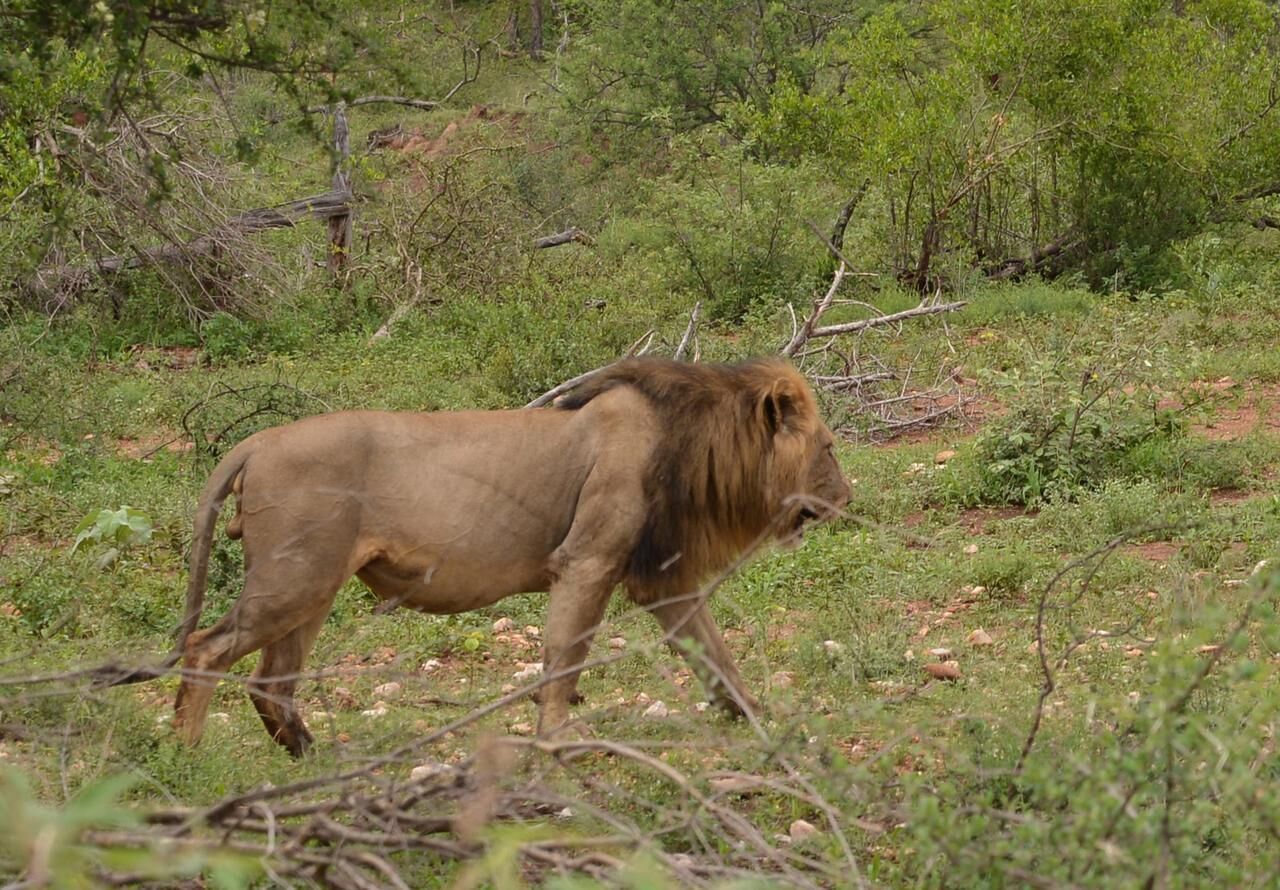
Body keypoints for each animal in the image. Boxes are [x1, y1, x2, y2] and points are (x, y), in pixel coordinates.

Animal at [130, 358, 848, 756]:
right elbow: (563, 662)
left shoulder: (660, 579)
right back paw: (188, 761)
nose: (847, 497)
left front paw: (764, 724)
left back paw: (315, 760)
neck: (695, 441)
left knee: (270, 682)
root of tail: (254, 442)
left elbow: (716, 656)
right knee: (205, 649)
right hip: (293, 577)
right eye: (831, 447)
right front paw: (555, 749)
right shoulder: (586, 560)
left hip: (313, 587)